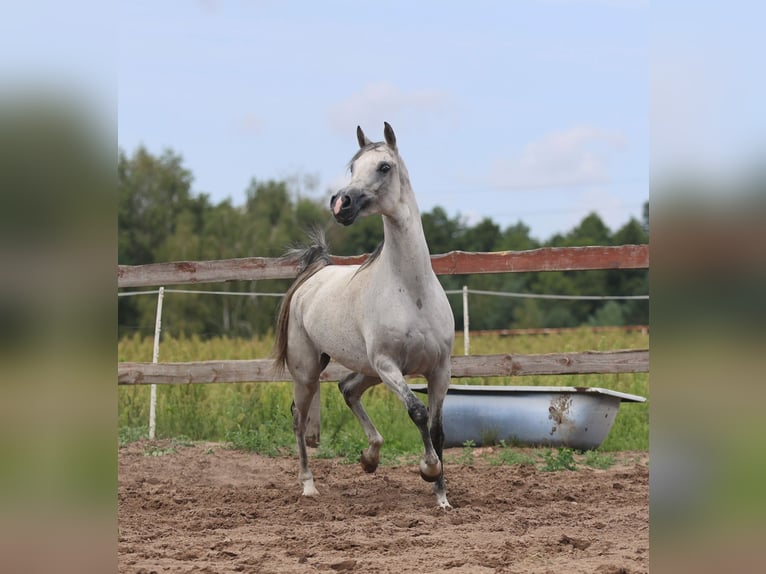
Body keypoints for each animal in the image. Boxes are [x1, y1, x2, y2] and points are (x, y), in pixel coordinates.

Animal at [274, 122, 456, 508]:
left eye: (384, 167)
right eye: (353, 168)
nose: (340, 203)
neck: (412, 292)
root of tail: (316, 275)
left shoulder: (440, 369)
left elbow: (437, 429)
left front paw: (442, 498)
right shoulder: (388, 364)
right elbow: (417, 411)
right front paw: (428, 469)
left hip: (366, 369)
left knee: (347, 389)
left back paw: (370, 457)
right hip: (310, 370)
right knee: (299, 416)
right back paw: (308, 484)